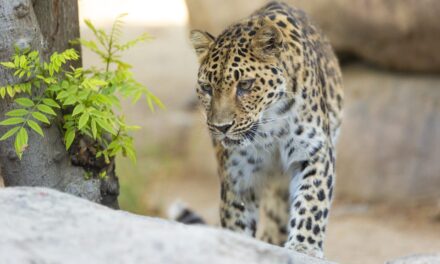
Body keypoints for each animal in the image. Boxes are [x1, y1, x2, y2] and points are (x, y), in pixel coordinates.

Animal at [175, 1, 344, 258]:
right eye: (206, 88)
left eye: (245, 85)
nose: (222, 127)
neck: (269, 128)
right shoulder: (238, 171)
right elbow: (237, 215)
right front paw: (236, 243)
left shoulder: (315, 150)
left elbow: (313, 199)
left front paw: (304, 246)